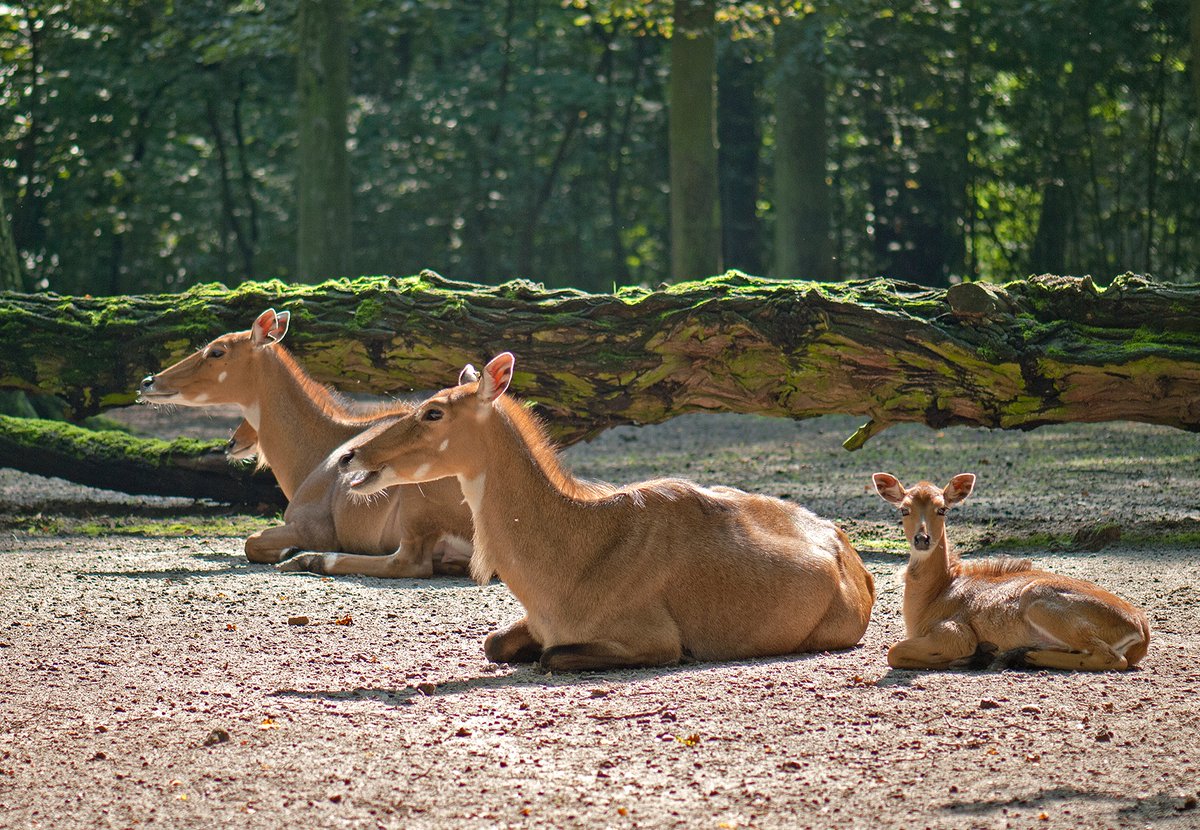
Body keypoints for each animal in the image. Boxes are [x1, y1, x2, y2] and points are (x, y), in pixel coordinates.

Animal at [137, 308, 474, 578]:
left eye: (217, 352)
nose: (148, 382)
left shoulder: (311, 527)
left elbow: (250, 542)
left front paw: (289, 550)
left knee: (410, 563)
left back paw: (309, 559)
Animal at [336, 351, 876, 671]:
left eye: (434, 411)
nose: (348, 457)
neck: (574, 555)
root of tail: (852, 560)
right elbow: (494, 643)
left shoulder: (652, 641)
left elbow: (551, 657)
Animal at [872, 472, 1150, 671]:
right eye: (904, 509)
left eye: (942, 509)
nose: (922, 538)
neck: (936, 593)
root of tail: (1141, 627)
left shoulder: (955, 632)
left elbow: (893, 652)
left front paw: (976, 656)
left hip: (1042, 605)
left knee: (1112, 658)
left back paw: (1014, 656)